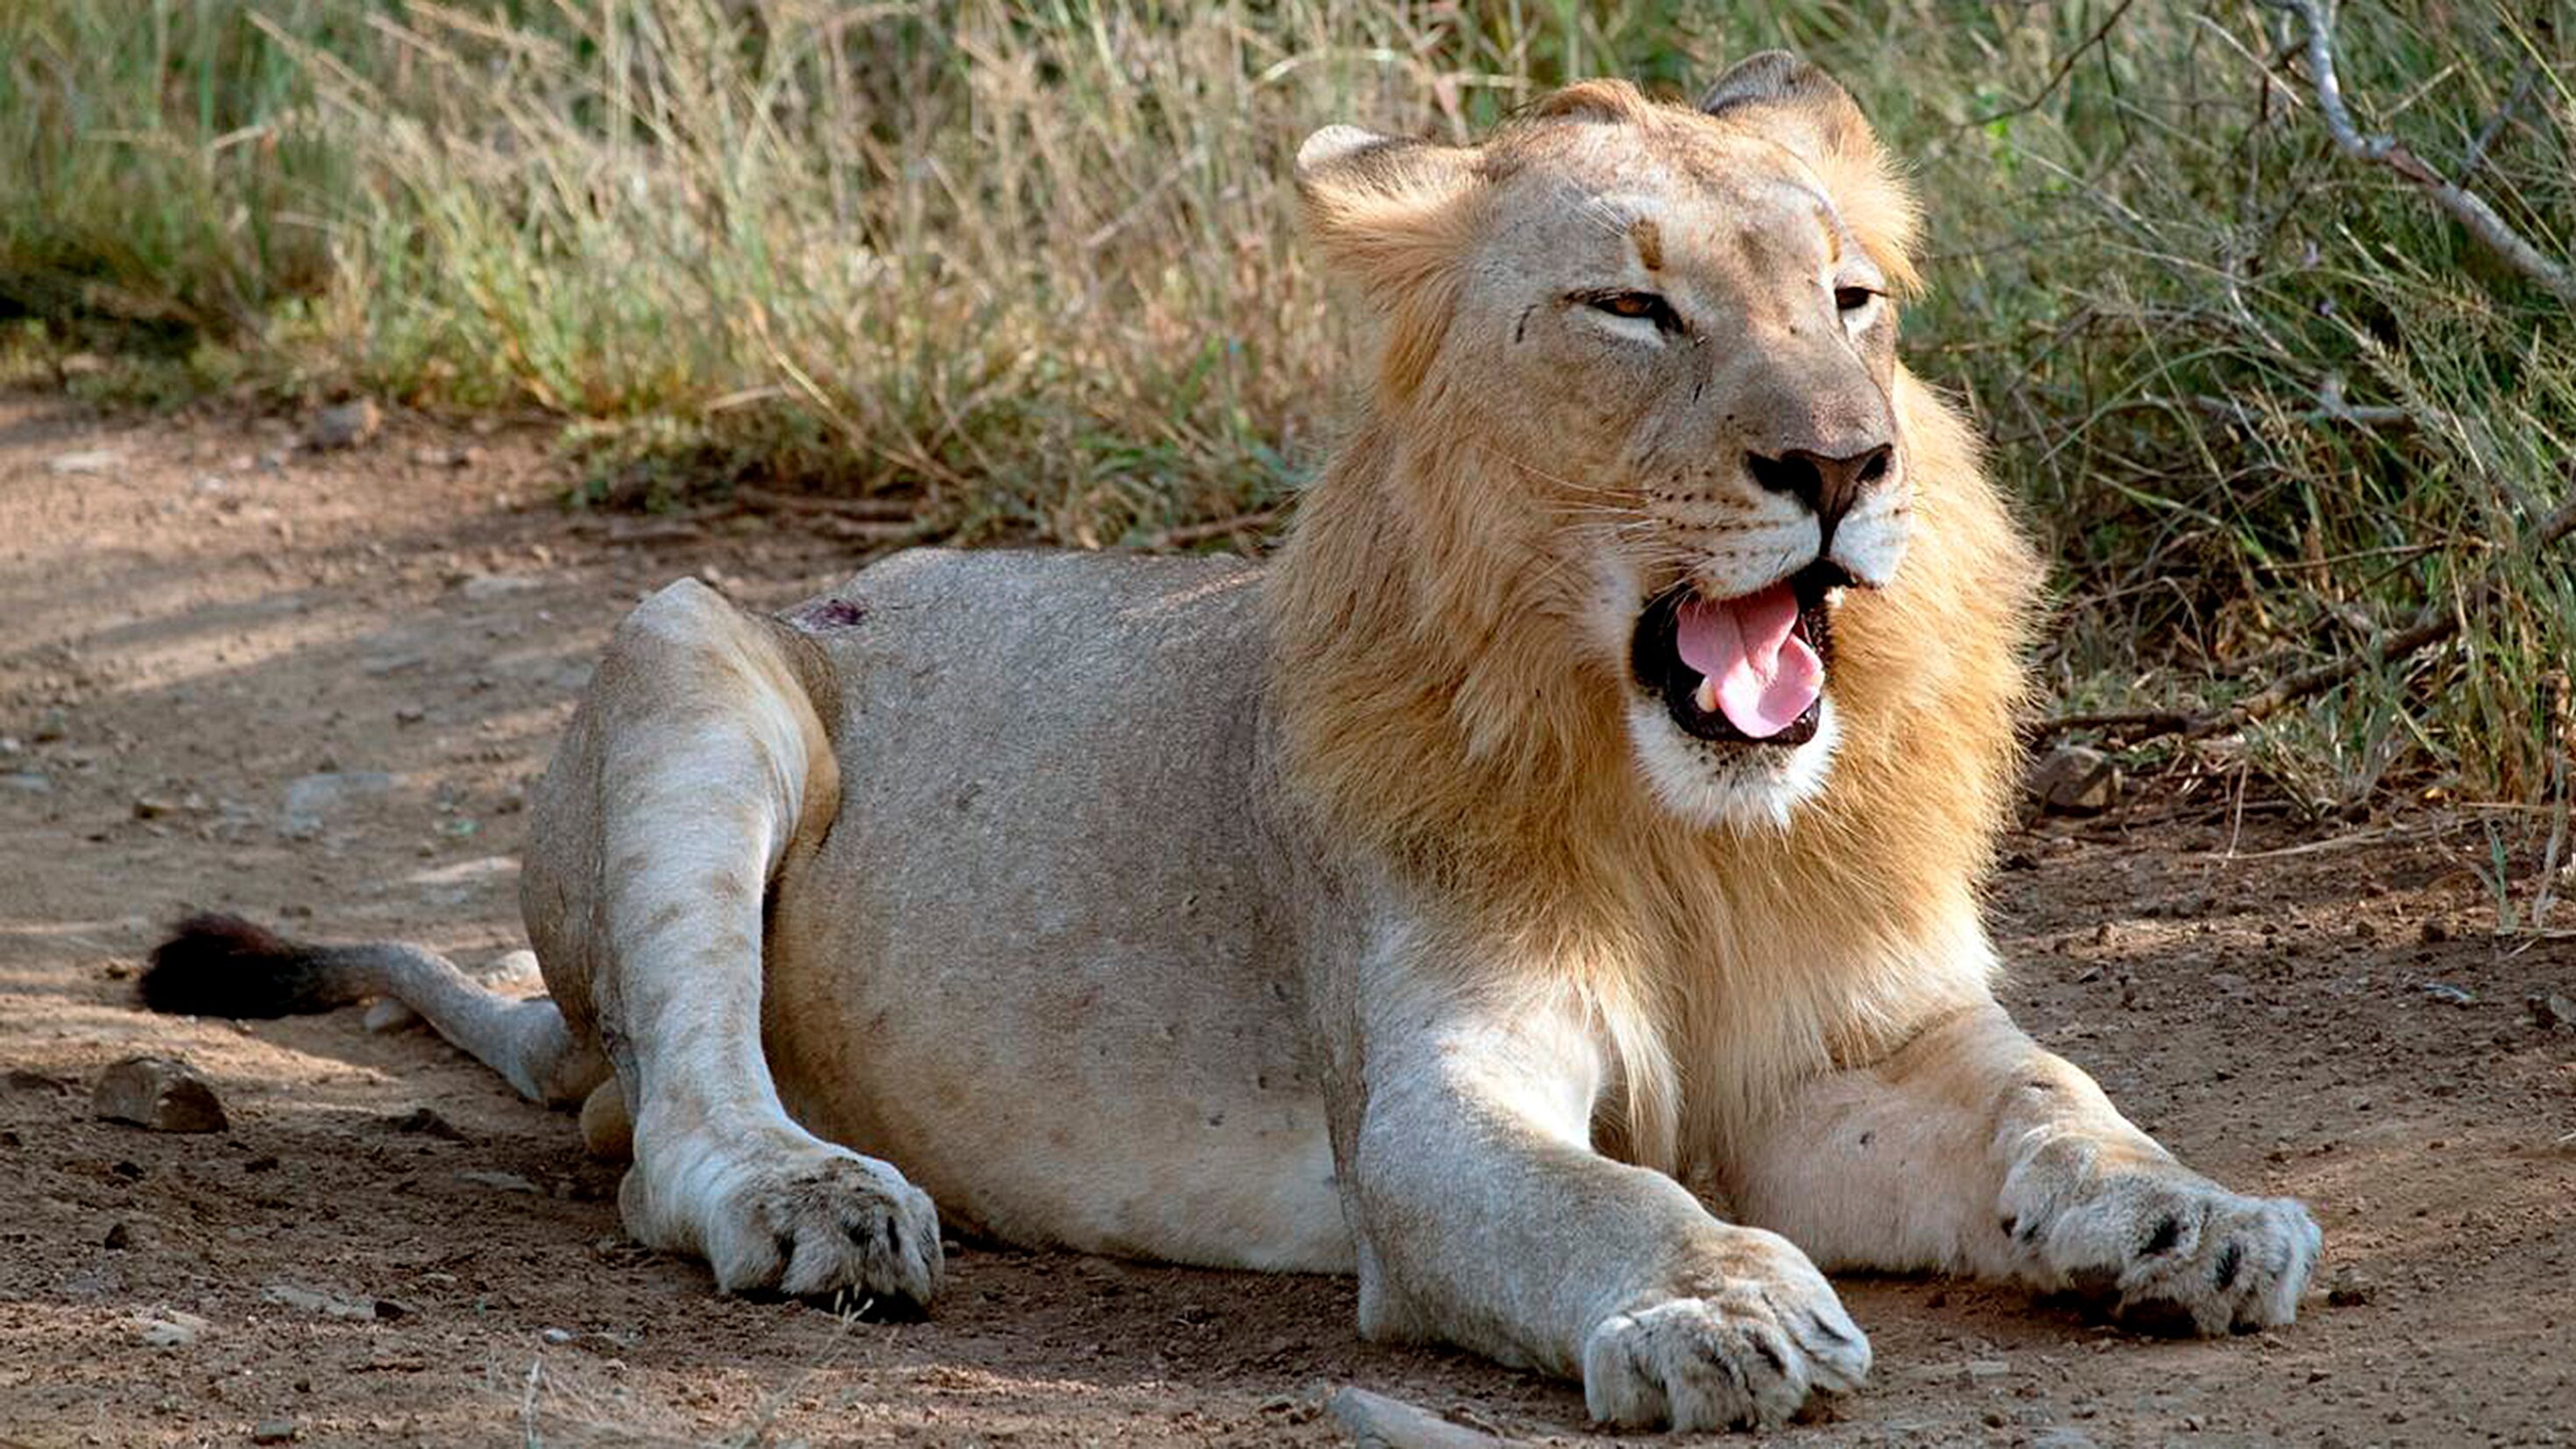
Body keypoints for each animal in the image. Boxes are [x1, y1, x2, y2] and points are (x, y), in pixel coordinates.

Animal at [142, 55, 2319, 1431]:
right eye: (1630, 307)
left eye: (1854, 301)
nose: (1848, 467)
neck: (1682, 820)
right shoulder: (1430, 1107)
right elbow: (1601, 1200)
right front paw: (1720, 1306)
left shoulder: (1841, 1052)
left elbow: (2057, 1098)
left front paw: (2198, 1215)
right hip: (688, 642)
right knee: (670, 1119)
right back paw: (816, 1195)